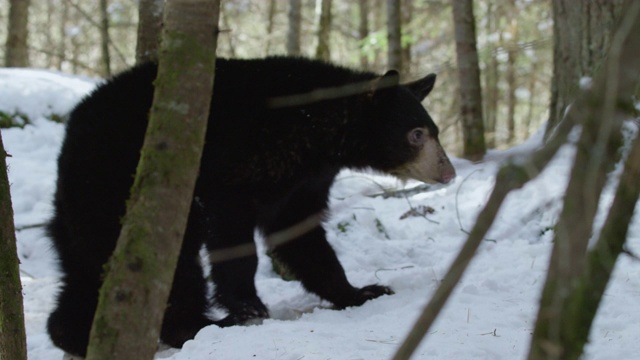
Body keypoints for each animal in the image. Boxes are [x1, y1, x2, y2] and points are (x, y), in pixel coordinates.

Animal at [47, 56, 456, 354]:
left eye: (435, 131)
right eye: (416, 134)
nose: (449, 172)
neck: (314, 130)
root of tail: (69, 138)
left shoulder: (306, 180)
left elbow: (301, 235)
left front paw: (362, 291)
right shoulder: (237, 160)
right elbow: (233, 233)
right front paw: (248, 306)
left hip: (81, 209)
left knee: (85, 267)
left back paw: (75, 334)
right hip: (118, 183)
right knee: (167, 263)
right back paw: (197, 326)